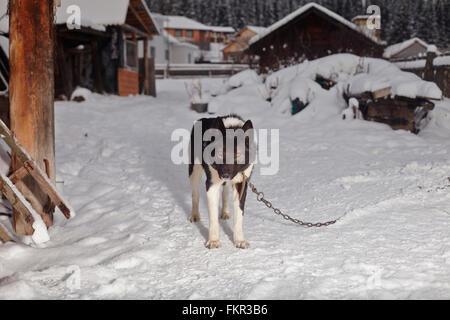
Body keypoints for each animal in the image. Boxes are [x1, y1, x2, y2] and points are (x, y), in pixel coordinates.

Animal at [188, 115, 255, 250]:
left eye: (237, 155)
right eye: (220, 153)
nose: (225, 175)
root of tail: (201, 119)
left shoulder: (241, 185)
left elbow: (239, 216)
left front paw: (239, 240)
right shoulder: (212, 185)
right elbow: (213, 217)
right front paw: (213, 241)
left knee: (225, 192)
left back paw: (225, 212)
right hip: (194, 171)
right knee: (195, 193)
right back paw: (195, 214)